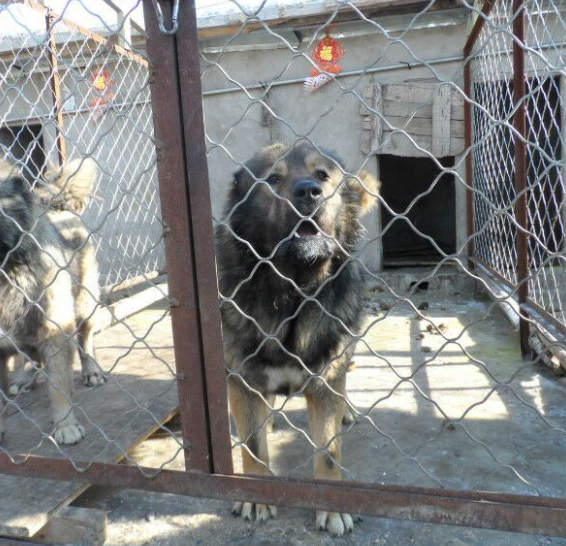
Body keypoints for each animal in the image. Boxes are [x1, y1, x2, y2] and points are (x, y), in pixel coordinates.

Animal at [215, 141, 380, 536]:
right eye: (273, 179)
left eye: (322, 175)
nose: (308, 191)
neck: (292, 293)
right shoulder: (242, 378)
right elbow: (252, 446)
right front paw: (257, 495)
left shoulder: (325, 377)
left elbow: (329, 451)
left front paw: (332, 505)